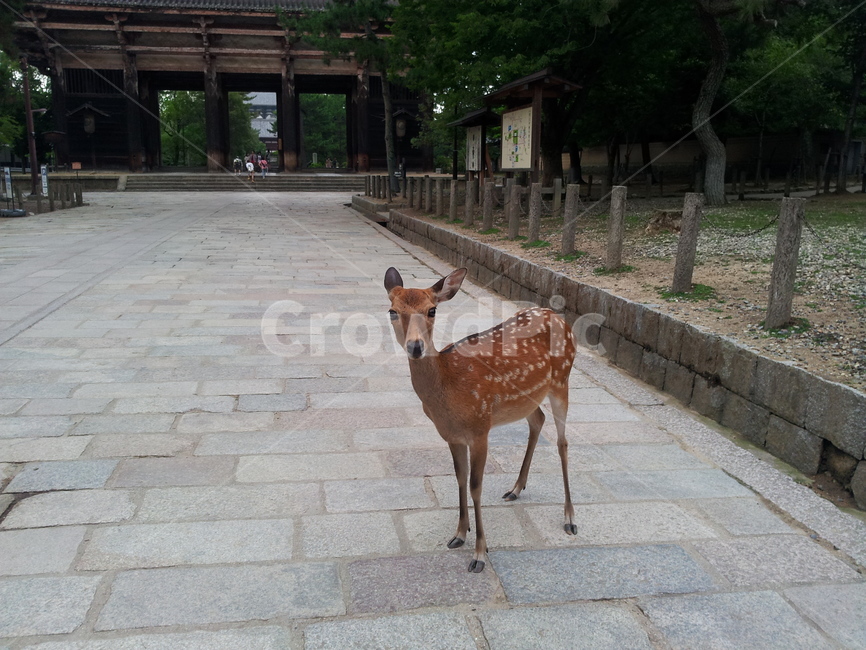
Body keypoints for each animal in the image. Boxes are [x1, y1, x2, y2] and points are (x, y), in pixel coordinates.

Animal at [384, 267, 577, 573]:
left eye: (432, 310)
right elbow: (460, 478)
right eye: (392, 311)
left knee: (562, 442)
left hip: (562, 380)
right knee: (538, 419)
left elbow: (476, 486)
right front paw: (459, 534)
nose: (415, 346)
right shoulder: (451, 435)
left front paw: (479, 554)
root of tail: (560, 319)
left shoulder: (480, 428)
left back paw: (569, 518)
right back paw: (515, 489)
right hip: (528, 398)